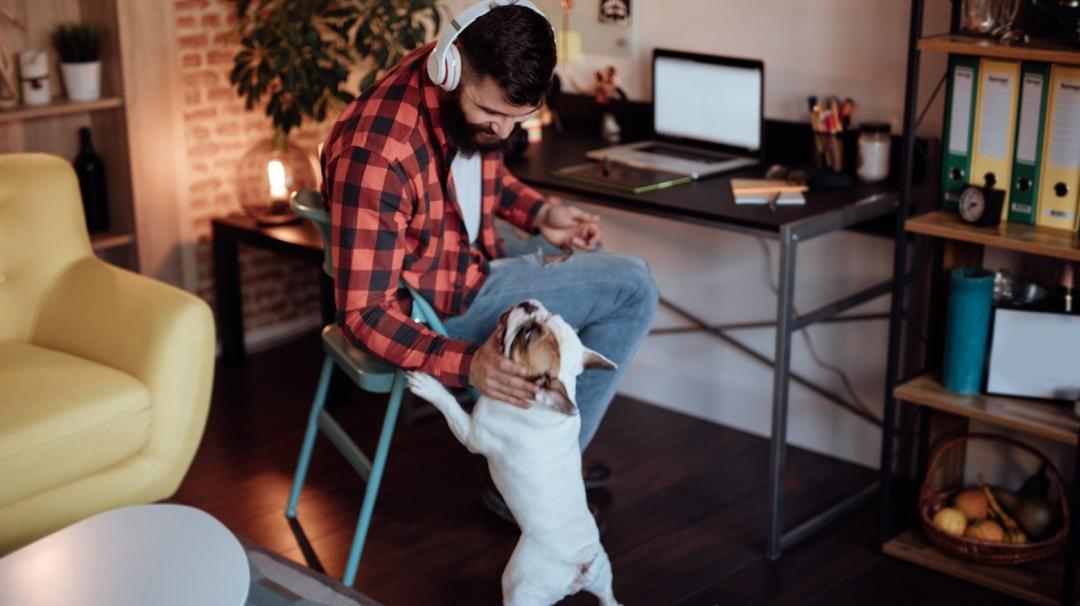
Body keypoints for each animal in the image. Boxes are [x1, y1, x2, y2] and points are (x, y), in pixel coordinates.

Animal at [406, 298, 626, 604]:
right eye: (549, 315)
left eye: (527, 335)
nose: (528, 305)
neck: (540, 403)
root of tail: (580, 566)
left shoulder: (472, 433)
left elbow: (450, 405)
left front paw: (429, 386)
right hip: (603, 576)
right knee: (610, 599)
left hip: (521, 587)